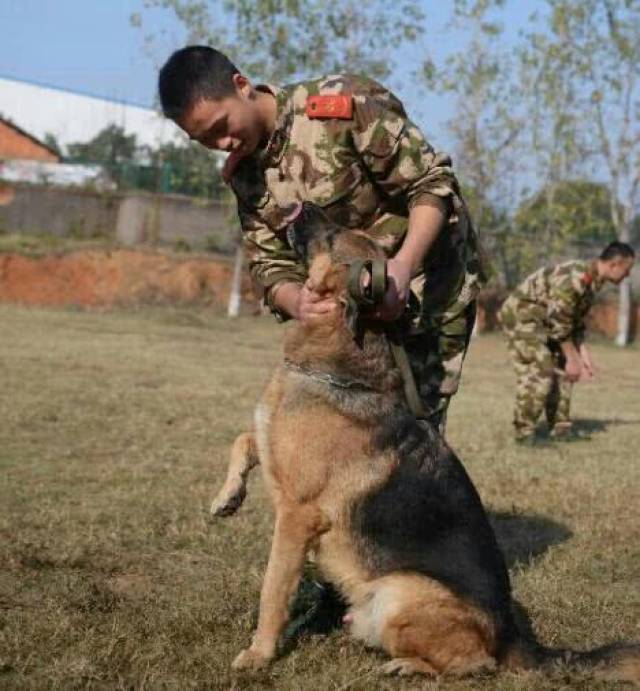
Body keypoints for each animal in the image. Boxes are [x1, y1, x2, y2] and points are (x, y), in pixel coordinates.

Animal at [211, 203, 640, 680]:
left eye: (335, 234)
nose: (298, 206)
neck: (339, 358)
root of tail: (514, 636)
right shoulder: (271, 447)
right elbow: (243, 439)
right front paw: (225, 497)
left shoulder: (297, 516)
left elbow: (273, 588)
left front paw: (259, 654)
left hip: (398, 594)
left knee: (474, 664)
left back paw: (406, 666)